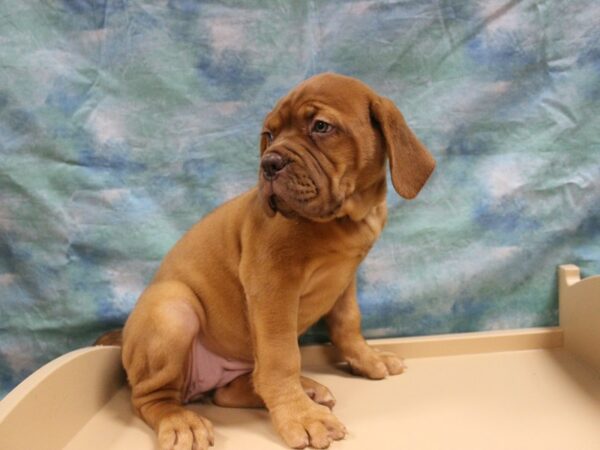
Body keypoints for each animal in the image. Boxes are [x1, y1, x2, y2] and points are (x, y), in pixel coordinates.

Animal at [110, 74, 434, 450]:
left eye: (321, 126)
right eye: (268, 135)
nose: (268, 164)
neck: (345, 219)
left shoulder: (345, 279)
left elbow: (348, 323)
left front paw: (367, 359)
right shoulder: (272, 285)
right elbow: (282, 358)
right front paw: (301, 416)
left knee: (231, 391)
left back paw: (307, 389)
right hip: (172, 308)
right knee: (151, 397)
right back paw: (181, 421)